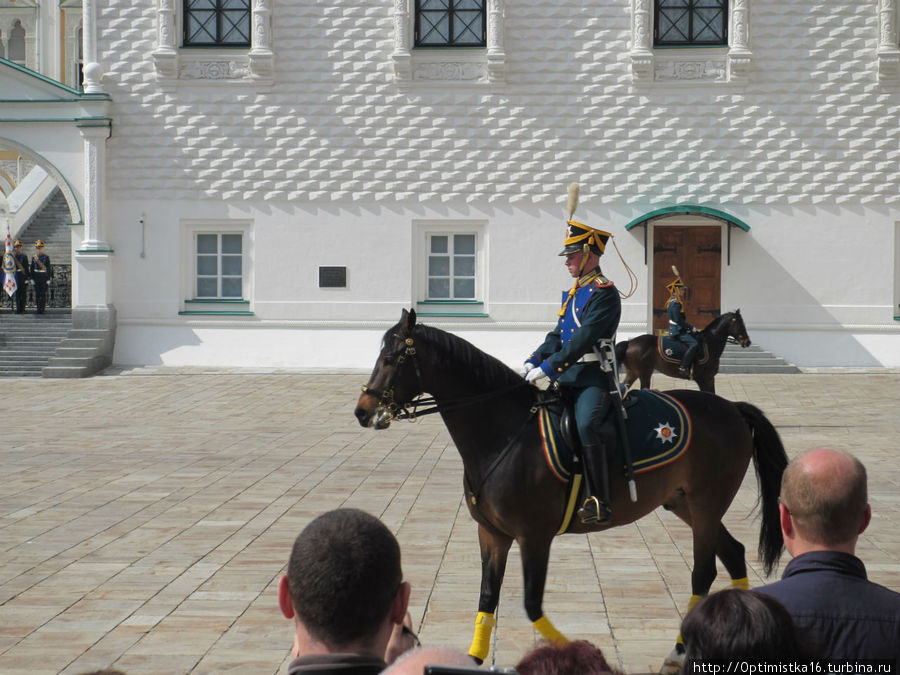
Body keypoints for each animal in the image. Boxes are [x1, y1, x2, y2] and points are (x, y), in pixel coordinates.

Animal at [616, 312, 748, 396]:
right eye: (739, 324)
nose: (747, 342)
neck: (709, 343)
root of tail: (630, 342)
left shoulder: (710, 379)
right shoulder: (704, 379)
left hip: (633, 373)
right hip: (644, 373)